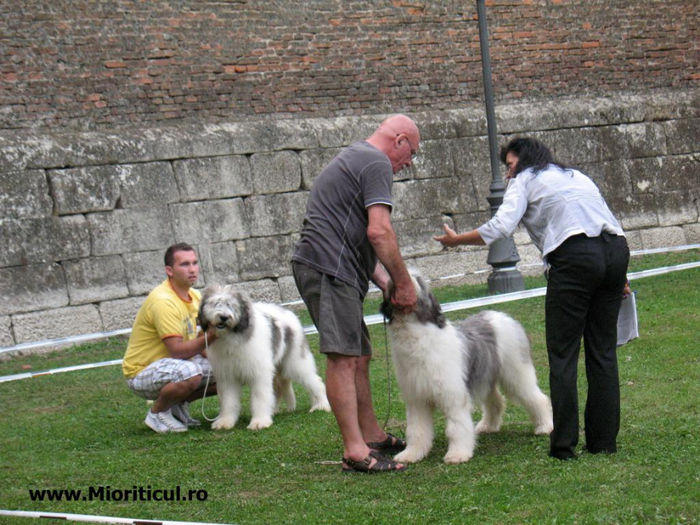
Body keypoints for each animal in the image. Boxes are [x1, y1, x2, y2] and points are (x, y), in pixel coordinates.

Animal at [197, 286, 328, 430]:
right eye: (215, 304)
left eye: (231, 305)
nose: (224, 317)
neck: (232, 336)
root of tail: (289, 313)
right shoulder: (227, 376)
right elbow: (228, 400)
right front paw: (224, 422)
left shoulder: (259, 372)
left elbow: (260, 396)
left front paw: (259, 422)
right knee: (278, 389)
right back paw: (274, 410)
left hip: (296, 362)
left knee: (315, 381)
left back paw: (321, 405)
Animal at [382, 270, 552, 462]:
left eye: (417, 279)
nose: (394, 279)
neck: (417, 337)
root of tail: (502, 315)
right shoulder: (416, 399)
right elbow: (416, 430)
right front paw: (411, 454)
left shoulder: (453, 395)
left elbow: (457, 427)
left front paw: (457, 454)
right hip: (485, 376)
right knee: (497, 401)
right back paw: (488, 426)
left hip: (517, 373)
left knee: (537, 398)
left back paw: (545, 426)